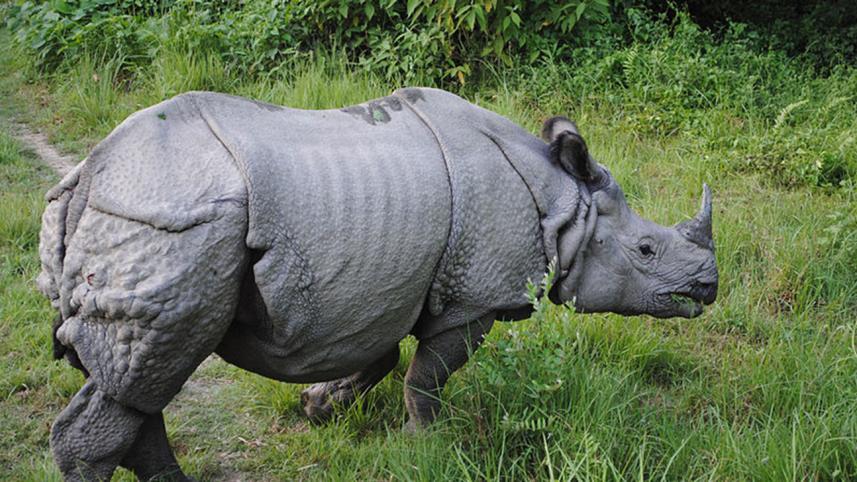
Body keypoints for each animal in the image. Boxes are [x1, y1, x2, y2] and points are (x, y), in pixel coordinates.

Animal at [37, 87, 717, 481]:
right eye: (647, 250)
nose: (708, 286)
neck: (564, 205)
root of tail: (89, 175)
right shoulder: (474, 298)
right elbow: (426, 378)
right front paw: (424, 449)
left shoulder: (388, 286)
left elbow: (382, 357)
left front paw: (320, 407)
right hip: (172, 222)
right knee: (148, 374)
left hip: (151, 220)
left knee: (138, 383)